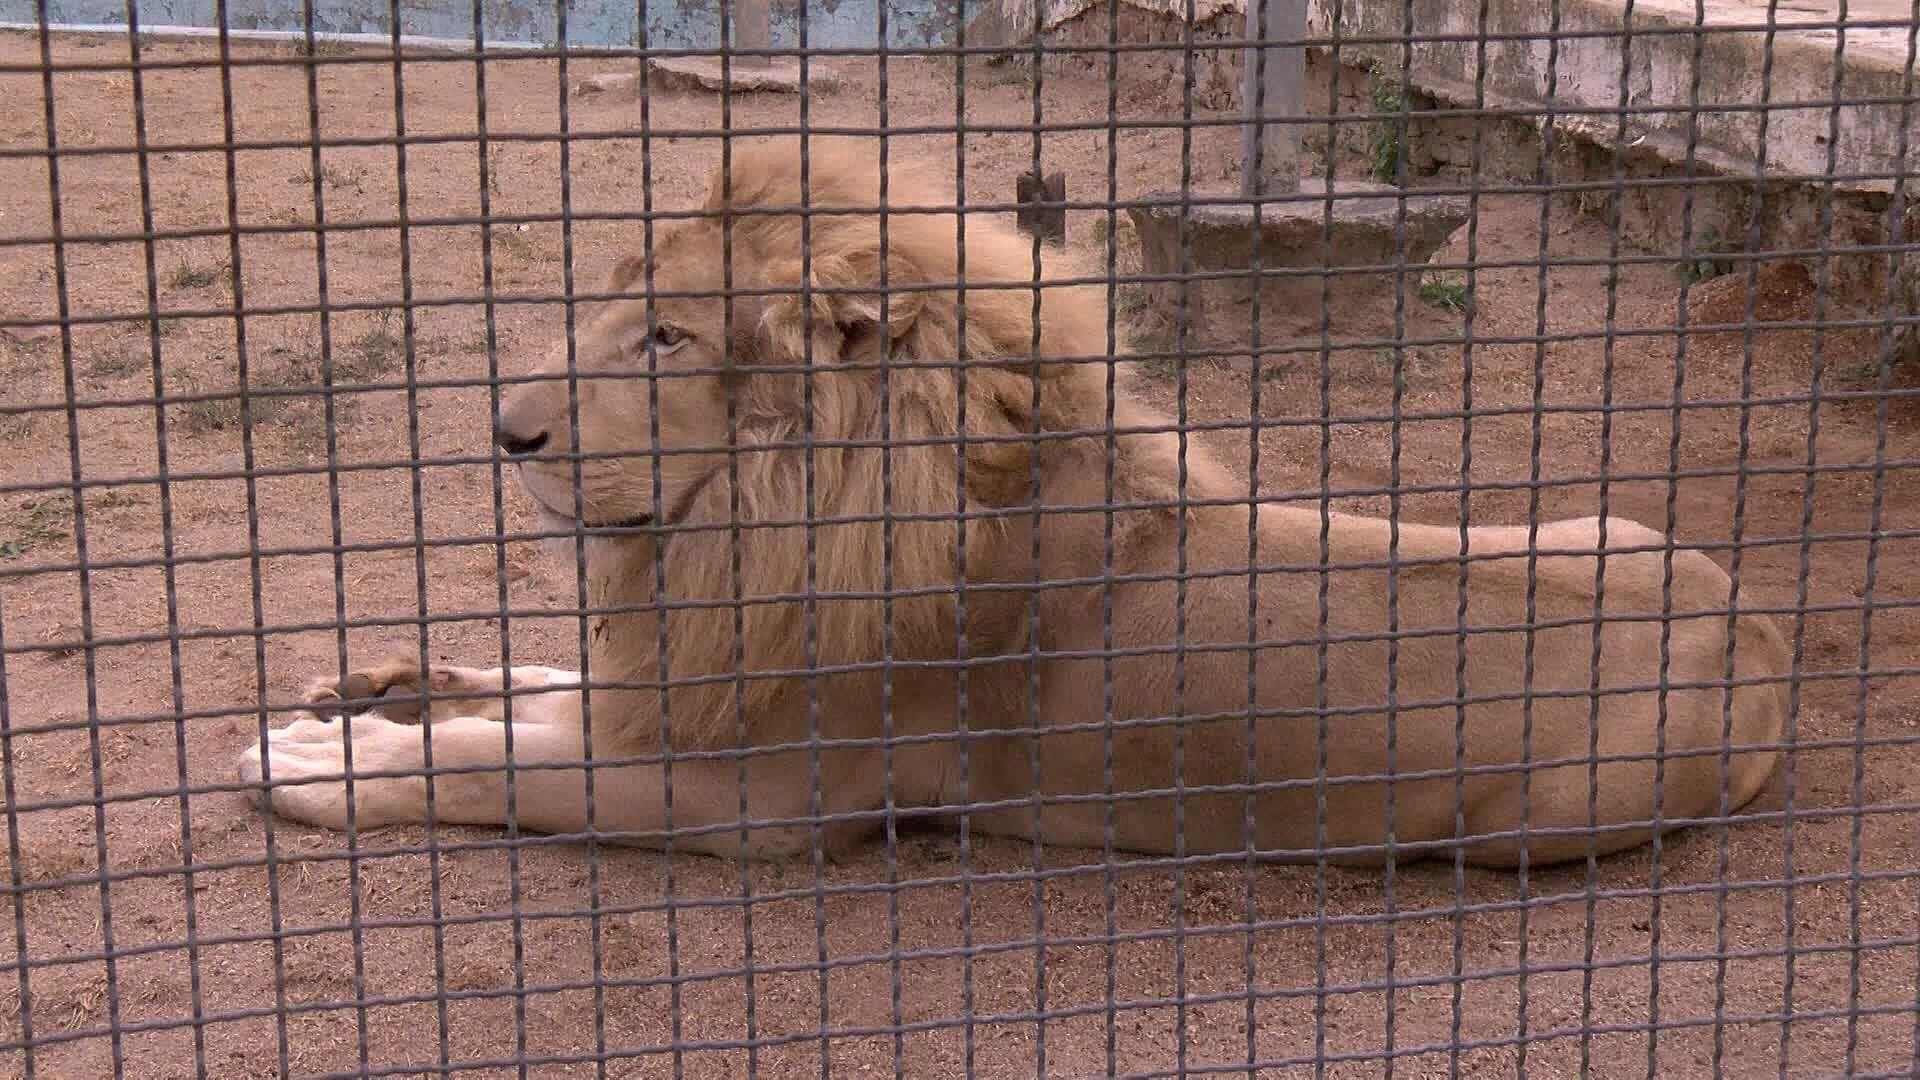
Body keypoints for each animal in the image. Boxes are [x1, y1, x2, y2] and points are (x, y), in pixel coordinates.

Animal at [237, 136, 1790, 868]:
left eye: (666, 338)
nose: (504, 432)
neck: (757, 513)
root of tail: (1759, 629)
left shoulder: (766, 800)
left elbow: (496, 763)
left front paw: (320, 764)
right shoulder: (692, 680)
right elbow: (538, 682)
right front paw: (378, 686)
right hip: (1604, 524)